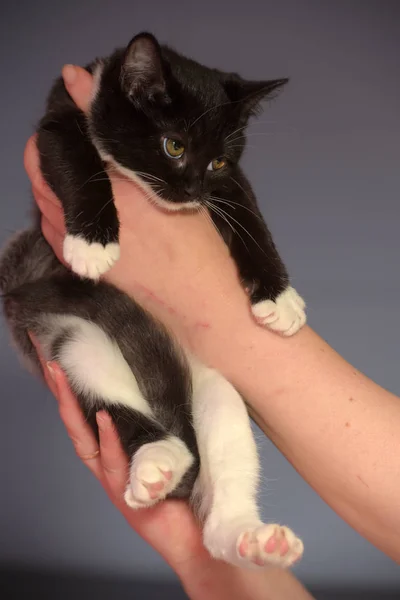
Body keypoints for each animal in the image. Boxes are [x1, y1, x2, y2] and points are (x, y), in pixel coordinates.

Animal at [0, 31, 306, 568]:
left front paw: (279, 296)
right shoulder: (59, 116)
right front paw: (93, 242)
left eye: (218, 159)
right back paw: (159, 458)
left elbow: (249, 213)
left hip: (218, 388)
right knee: (108, 397)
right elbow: (74, 157)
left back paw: (250, 538)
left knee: (220, 491)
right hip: (71, 335)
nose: (191, 190)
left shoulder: (229, 181)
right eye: (173, 144)